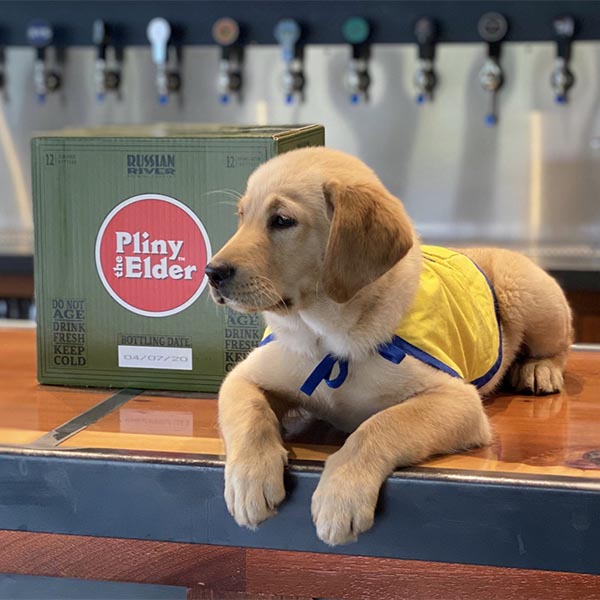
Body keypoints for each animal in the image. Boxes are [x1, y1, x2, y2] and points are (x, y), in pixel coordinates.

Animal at [205, 148, 572, 548]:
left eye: (282, 221)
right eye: (242, 217)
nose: (211, 272)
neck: (328, 337)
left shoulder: (457, 400)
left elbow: (380, 425)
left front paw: (341, 496)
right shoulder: (244, 377)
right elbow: (250, 415)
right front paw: (249, 481)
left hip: (525, 291)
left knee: (560, 345)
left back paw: (539, 370)